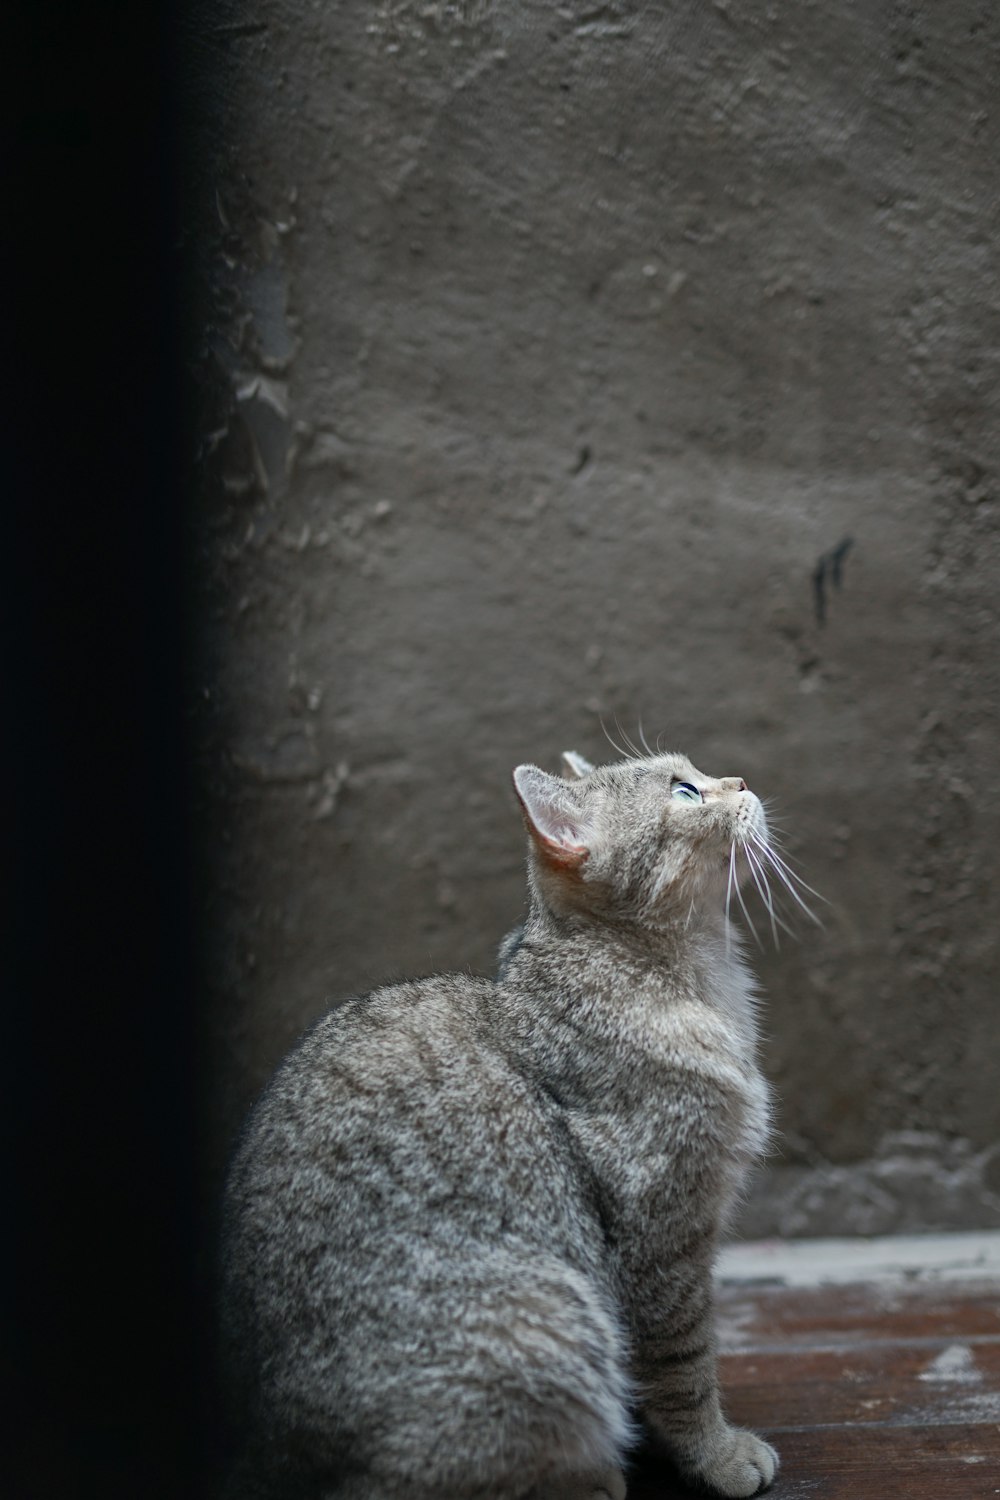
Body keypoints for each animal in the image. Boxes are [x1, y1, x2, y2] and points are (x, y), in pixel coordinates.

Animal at [223, 750, 785, 1500]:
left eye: (696, 773)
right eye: (685, 792)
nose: (743, 782)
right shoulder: (662, 1237)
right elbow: (685, 1368)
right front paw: (717, 1454)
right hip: (552, 1319)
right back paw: (589, 1478)